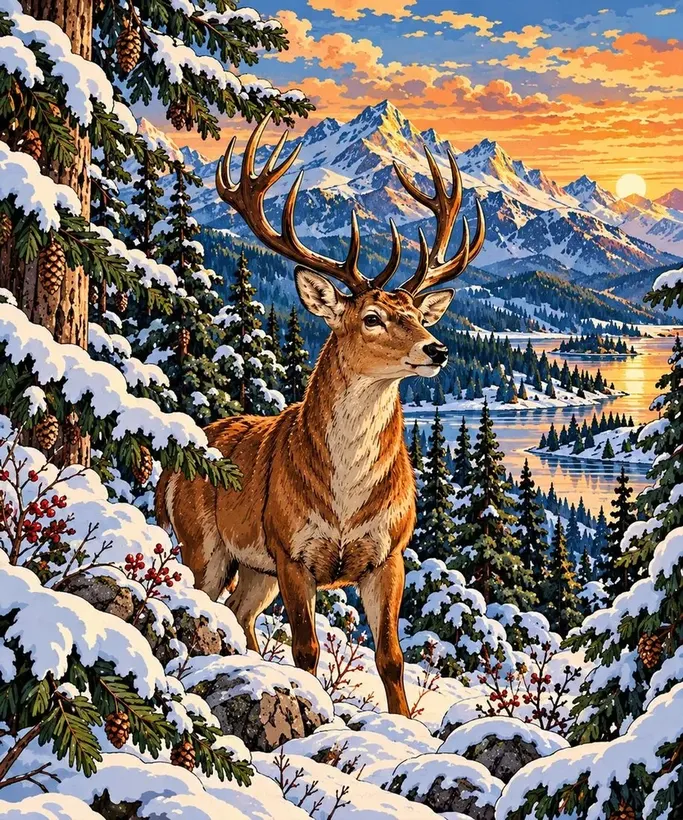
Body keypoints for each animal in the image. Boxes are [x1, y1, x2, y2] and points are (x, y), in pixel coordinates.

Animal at [155, 114, 485, 716]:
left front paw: (407, 725)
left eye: (416, 313)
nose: (438, 349)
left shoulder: (389, 554)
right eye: (372, 317)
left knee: (238, 614)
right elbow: (306, 652)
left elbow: (391, 658)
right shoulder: (291, 550)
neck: (345, 504)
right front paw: (317, 713)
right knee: (203, 602)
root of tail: (172, 462)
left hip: (253, 569)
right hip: (203, 543)